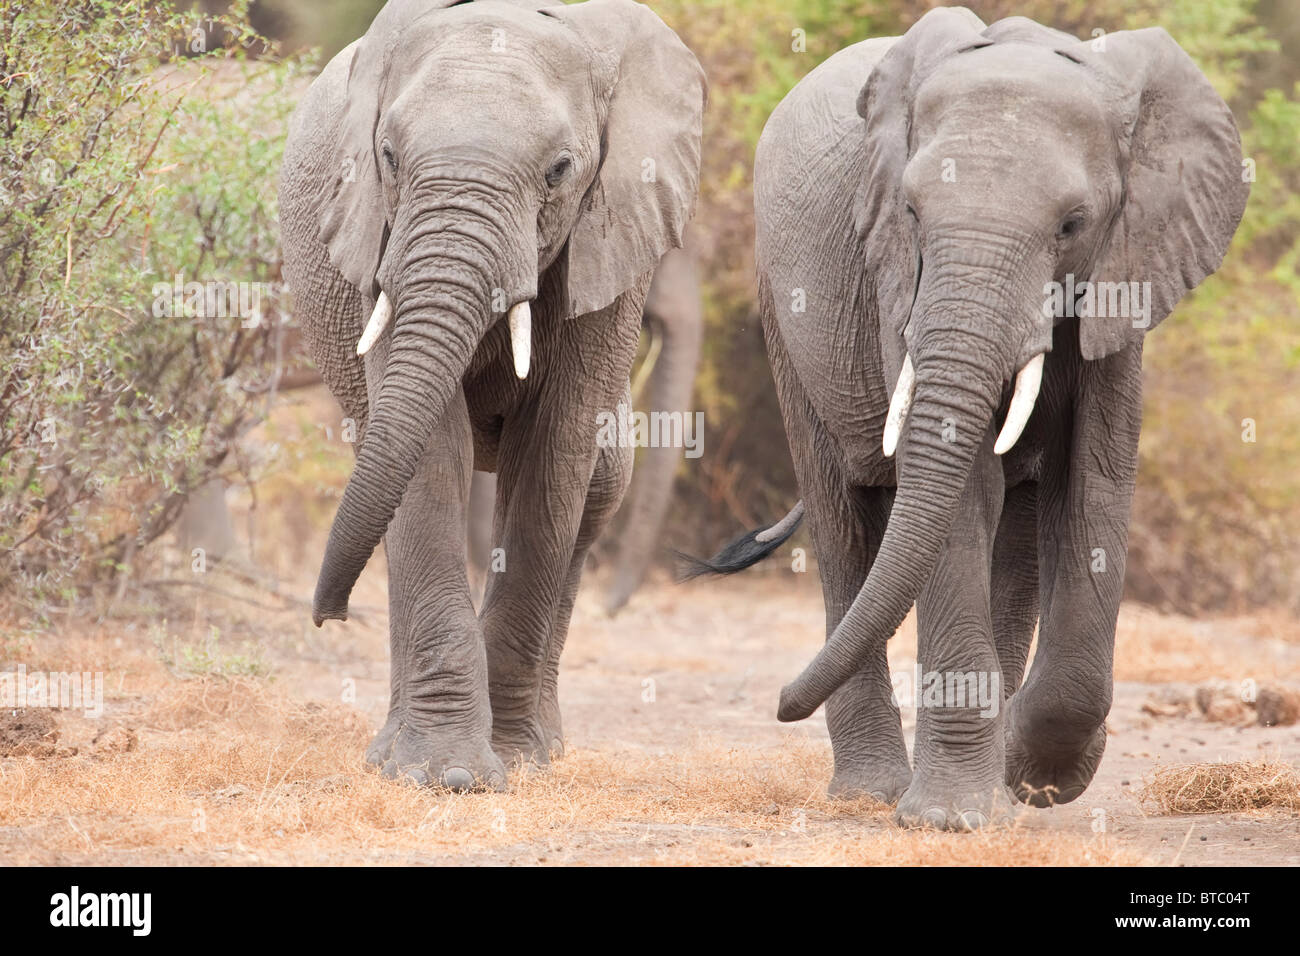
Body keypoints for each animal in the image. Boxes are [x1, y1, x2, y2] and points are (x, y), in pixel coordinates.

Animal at [274, 0, 702, 790]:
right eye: (387, 157)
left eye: (560, 171)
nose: (326, 615)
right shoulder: (381, 243)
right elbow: (429, 453)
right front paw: (442, 774)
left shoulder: (606, 244)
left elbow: (555, 451)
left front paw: (512, 761)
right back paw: (391, 752)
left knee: (596, 490)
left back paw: (546, 746)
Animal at [691, 7, 1248, 832]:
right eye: (912, 212)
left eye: (1073, 224)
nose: (781, 702)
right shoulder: (896, 278)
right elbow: (958, 494)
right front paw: (950, 818)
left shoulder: (1130, 268)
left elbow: (1097, 480)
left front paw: (1031, 780)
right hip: (778, 312)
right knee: (840, 516)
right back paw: (875, 792)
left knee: (1011, 540)